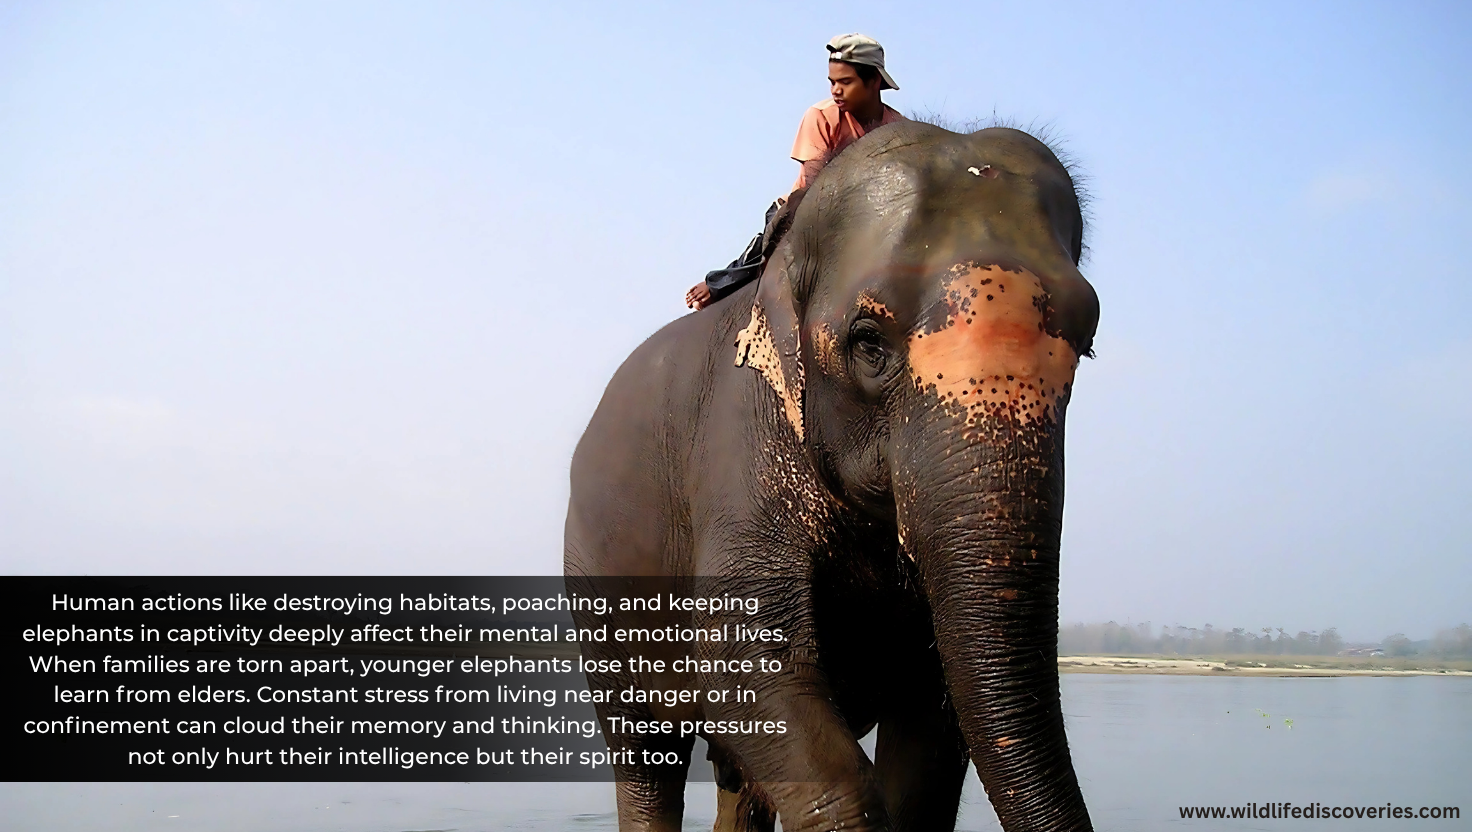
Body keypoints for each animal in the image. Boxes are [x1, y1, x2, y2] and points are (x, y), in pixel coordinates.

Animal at [563, 120, 1099, 832]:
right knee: (645, 753)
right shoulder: (742, 441)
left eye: (1086, 342)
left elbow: (933, 724)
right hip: (594, 573)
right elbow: (745, 661)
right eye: (867, 342)